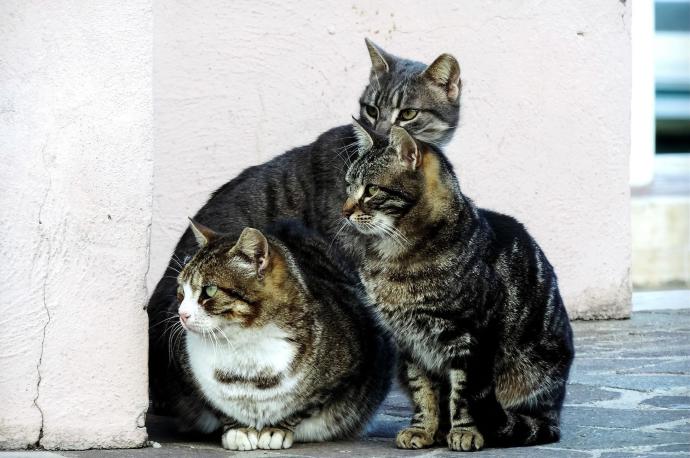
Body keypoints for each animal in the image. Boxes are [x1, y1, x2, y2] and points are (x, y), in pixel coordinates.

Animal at [172, 219, 392, 450]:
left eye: (210, 290)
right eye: (181, 291)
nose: (181, 314)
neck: (244, 344)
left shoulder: (344, 375)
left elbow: (303, 406)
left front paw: (275, 429)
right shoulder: (186, 374)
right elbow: (217, 405)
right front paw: (239, 429)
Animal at [342, 124, 572, 450]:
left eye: (371, 189)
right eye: (349, 186)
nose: (344, 210)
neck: (394, 256)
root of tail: (555, 413)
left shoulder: (470, 336)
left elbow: (463, 394)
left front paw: (465, 431)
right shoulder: (410, 342)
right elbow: (423, 391)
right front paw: (423, 429)